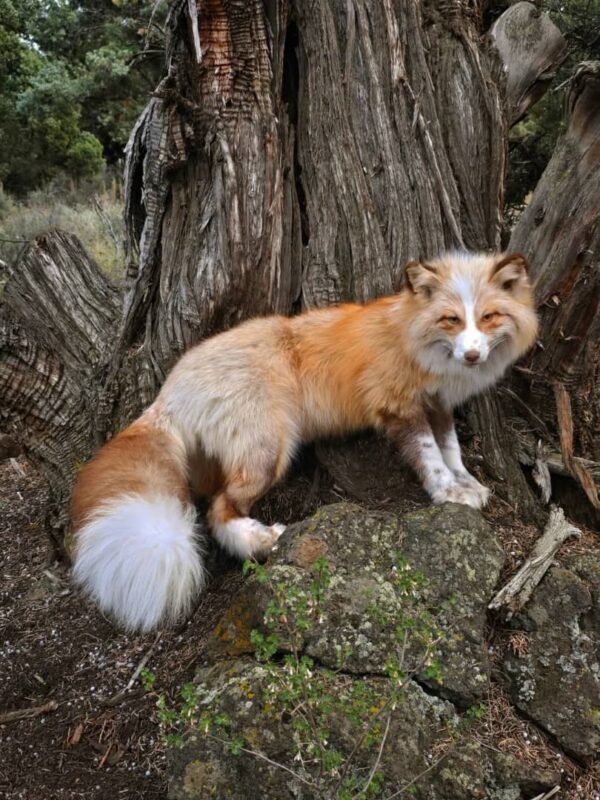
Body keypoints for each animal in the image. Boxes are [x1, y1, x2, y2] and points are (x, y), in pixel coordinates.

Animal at [71, 251, 538, 632]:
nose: (473, 356)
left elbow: (452, 449)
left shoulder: (437, 404)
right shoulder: (400, 407)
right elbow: (430, 457)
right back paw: (262, 541)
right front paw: (447, 494)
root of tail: (170, 387)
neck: (414, 339)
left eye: (489, 317)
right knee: (218, 512)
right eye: (451, 320)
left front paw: (468, 484)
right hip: (270, 452)